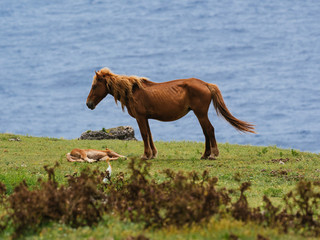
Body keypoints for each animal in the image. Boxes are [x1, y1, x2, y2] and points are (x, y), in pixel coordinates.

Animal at [85, 68, 255, 159]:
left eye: (94, 86)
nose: (88, 104)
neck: (132, 91)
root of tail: (206, 84)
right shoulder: (145, 118)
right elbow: (150, 135)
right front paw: (153, 154)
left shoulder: (140, 117)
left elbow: (144, 135)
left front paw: (145, 155)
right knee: (206, 131)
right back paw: (205, 155)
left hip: (200, 113)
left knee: (209, 130)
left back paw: (213, 154)